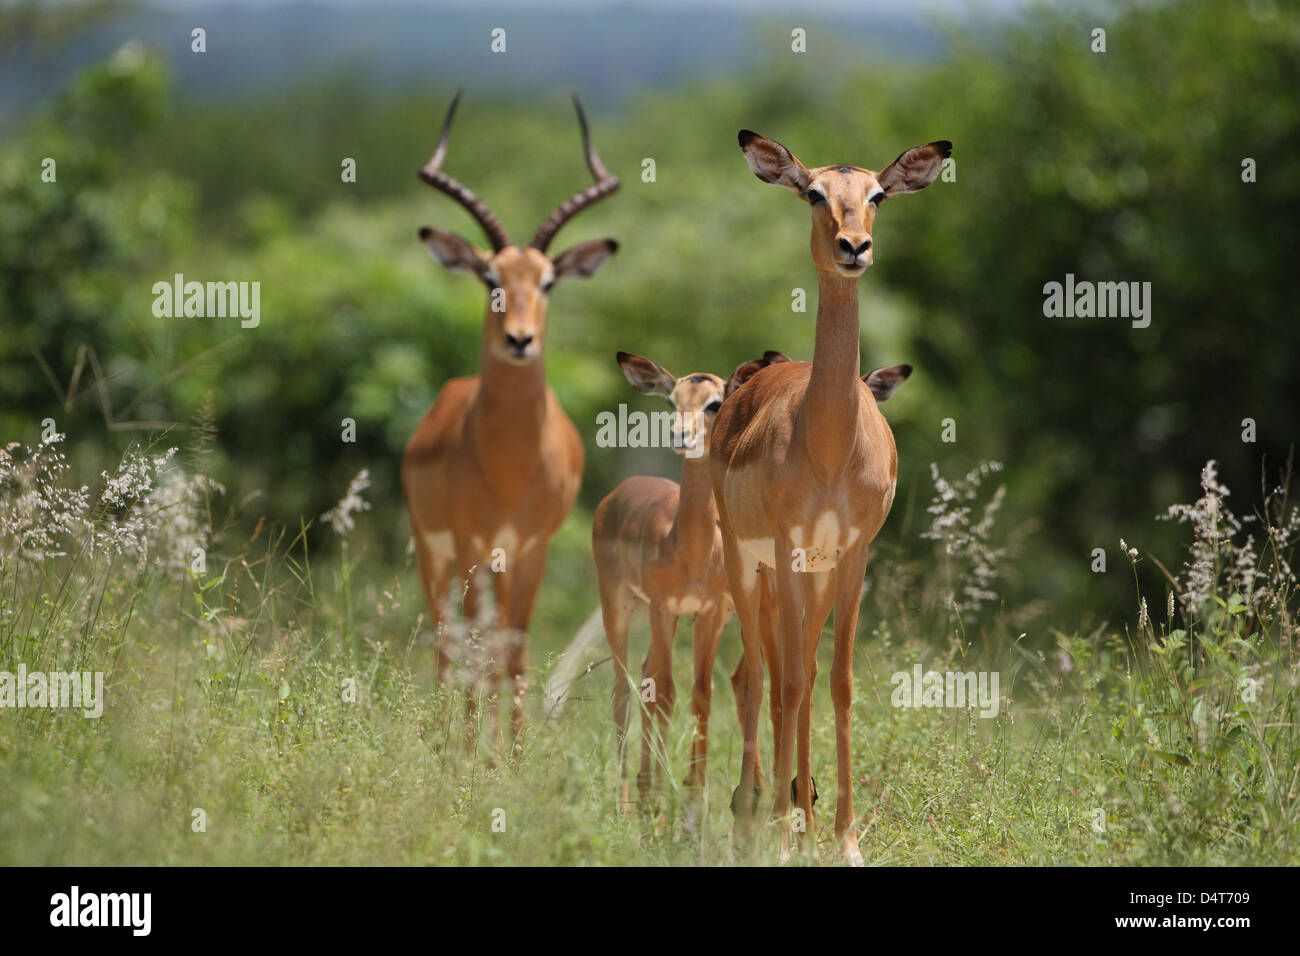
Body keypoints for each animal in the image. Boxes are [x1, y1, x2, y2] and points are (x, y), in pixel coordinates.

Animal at [402, 92, 619, 747]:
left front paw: (513, 756)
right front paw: (470, 755)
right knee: (447, 644)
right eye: (489, 277)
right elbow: (474, 646)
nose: (519, 340)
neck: (507, 461)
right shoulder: (470, 541)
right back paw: (446, 741)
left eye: (548, 280)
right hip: (434, 550)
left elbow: (516, 652)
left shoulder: (531, 546)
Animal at [711, 129, 949, 863]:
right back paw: (755, 814)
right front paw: (786, 837)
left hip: (808, 578)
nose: (854, 246)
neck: (828, 447)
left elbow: (839, 681)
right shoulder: (788, 552)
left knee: (804, 674)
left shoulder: (853, 555)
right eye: (814, 192)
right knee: (760, 676)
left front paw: (843, 838)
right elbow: (786, 682)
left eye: (877, 195)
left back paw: (799, 811)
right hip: (746, 564)